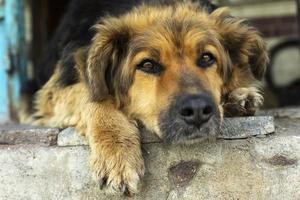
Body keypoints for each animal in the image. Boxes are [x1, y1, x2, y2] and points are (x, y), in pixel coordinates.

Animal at [21, 0, 270, 195]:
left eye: (207, 58)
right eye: (148, 65)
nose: (198, 110)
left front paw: (238, 95)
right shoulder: (55, 90)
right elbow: (95, 95)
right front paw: (117, 152)